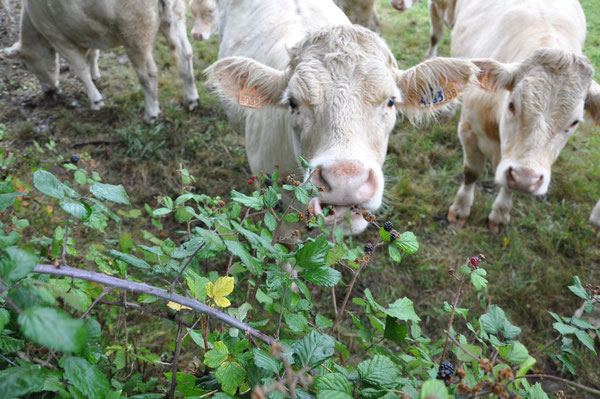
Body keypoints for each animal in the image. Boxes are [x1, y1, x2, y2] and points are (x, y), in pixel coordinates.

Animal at [1, 0, 200, 123]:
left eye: (26, 65)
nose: (48, 91)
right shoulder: (87, 32)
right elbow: (93, 54)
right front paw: (95, 75)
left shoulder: (58, 38)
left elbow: (79, 69)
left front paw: (95, 100)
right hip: (175, 16)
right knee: (186, 55)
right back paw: (191, 99)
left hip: (134, 28)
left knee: (148, 73)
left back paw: (151, 114)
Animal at [442, 0, 600, 231]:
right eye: (512, 105)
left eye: (574, 122)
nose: (526, 178)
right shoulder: (468, 129)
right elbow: (471, 172)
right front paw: (460, 209)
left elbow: (508, 188)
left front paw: (500, 214)